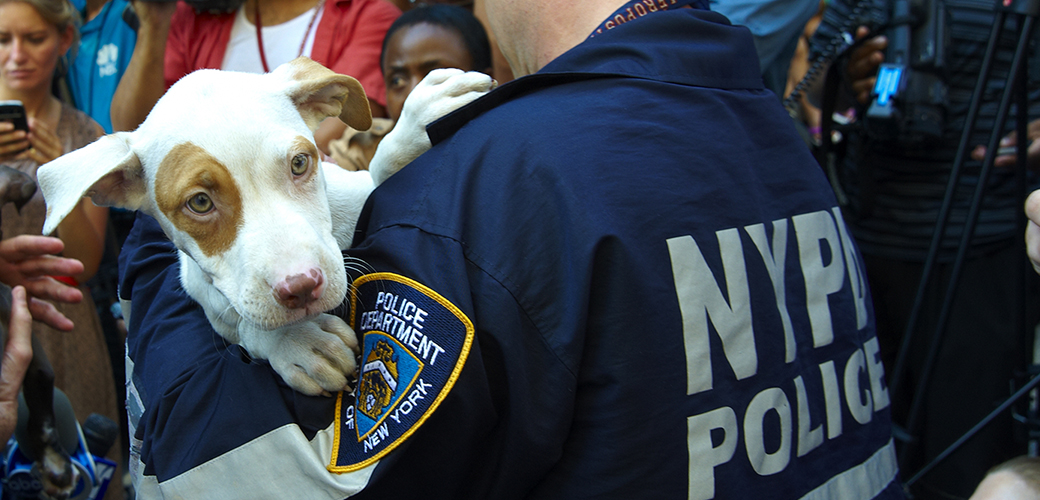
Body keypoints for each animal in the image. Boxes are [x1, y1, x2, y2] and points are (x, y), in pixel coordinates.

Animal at [38, 57, 492, 392]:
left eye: (300, 163)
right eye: (199, 203)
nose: (301, 287)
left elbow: (379, 172)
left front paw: (414, 126)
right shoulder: (206, 292)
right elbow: (243, 321)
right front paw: (297, 342)